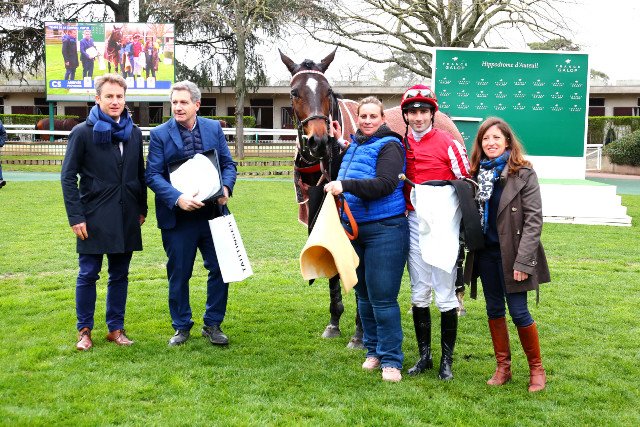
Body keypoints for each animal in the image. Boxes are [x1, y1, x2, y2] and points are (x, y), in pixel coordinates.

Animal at [280, 49, 467, 346]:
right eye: (294, 92)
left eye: (328, 90)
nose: (318, 141)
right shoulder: (323, 213)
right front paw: (334, 321)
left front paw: (359, 332)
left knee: (456, 250)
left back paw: (458, 300)